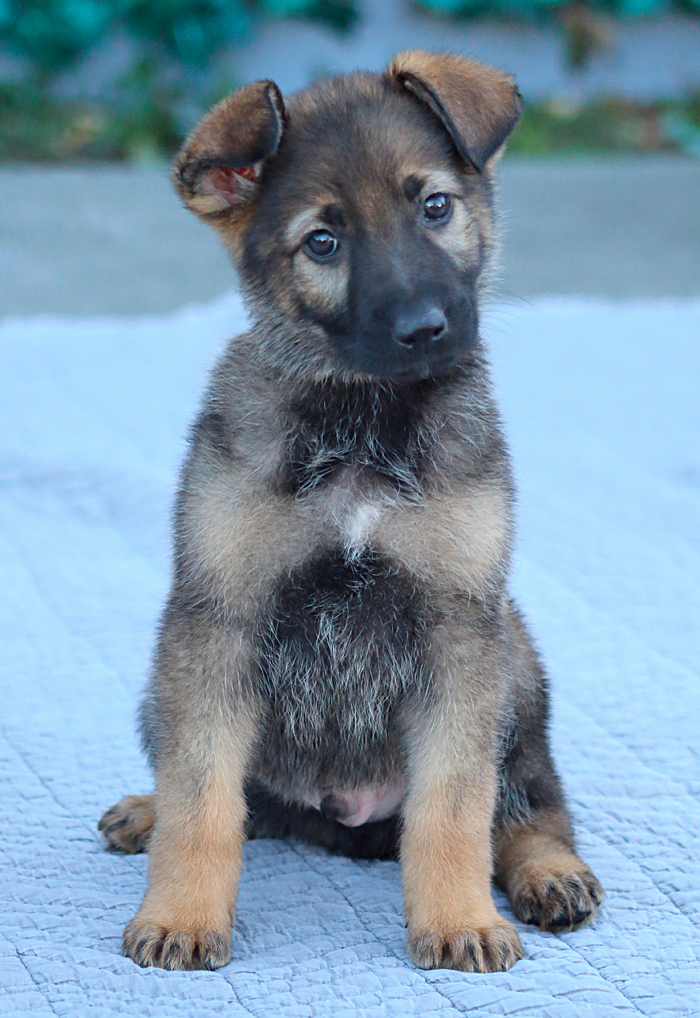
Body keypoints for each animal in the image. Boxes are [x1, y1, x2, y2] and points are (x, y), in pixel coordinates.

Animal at [98, 51, 602, 973]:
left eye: (434, 206)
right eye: (322, 243)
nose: (425, 328)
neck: (362, 425)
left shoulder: (457, 629)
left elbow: (455, 805)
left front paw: (460, 918)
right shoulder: (218, 621)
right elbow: (203, 795)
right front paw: (183, 912)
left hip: (516, 662)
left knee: (530, 801)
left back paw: (549, 871)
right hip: (162, 686)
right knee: (238, 795)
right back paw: (146, 810)